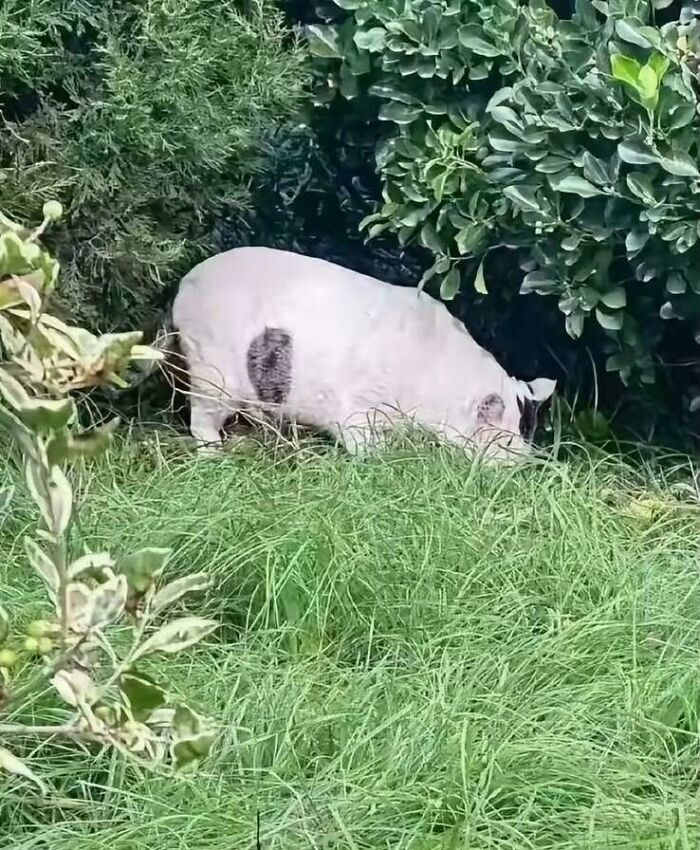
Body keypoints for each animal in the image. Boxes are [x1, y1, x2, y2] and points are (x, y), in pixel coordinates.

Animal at [167, 247, 555, 458]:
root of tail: (183, 286)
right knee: (201, 418)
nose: (519, 466)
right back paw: (215, 456)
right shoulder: (356, 406)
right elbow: (361, 441)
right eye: (506, 441)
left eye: (529, 433)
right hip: (210, 369)